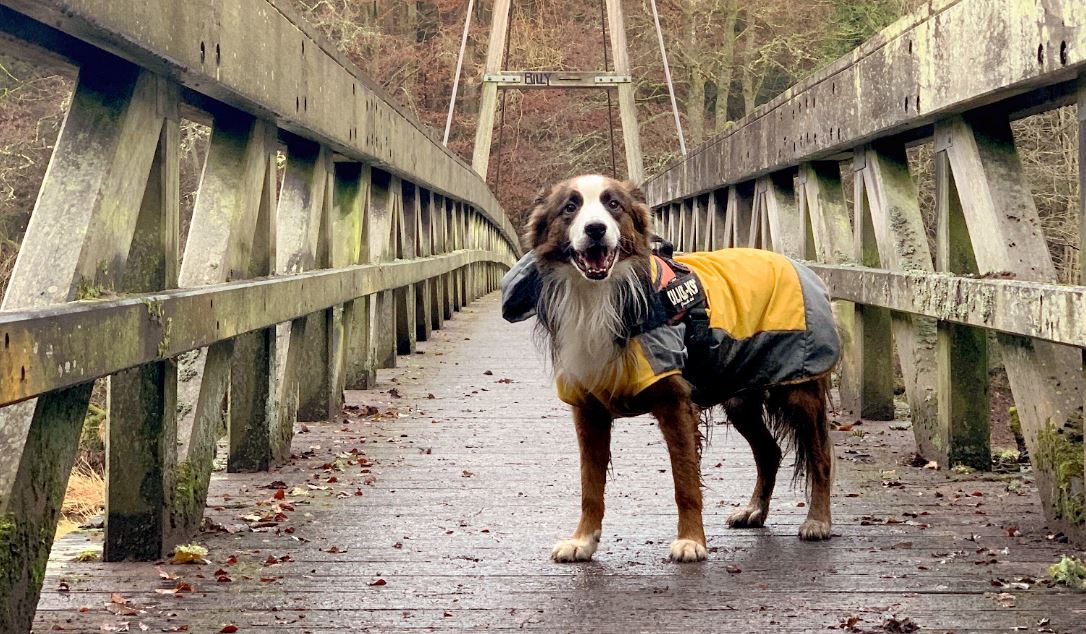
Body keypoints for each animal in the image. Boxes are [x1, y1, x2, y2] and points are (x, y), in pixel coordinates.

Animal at [499, 174, 838, 564]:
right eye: (570, 207)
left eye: (613, 205)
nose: (596, 229)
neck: (600, 297)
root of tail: (798, 265)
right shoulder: (588, 410)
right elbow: (590, 486)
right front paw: (583, 540)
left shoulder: (675, 403)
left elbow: (685, 481)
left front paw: (691, 540)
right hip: (740, 398)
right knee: (770, 453)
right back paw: (754, 510)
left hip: (798, 388)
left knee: (821, 456)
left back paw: (818, 521)